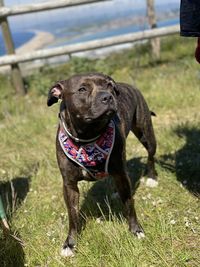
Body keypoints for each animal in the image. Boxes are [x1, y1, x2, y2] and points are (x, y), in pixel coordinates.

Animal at [47, 73, 157, 258]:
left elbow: (129, 204)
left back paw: (152, 177)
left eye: (109, 85)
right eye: (82, 89)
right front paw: (70, 244)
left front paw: (136, 230)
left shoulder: (121, 173)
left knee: (150, 156)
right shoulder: (69, 185)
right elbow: (73, 216)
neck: (88, 136)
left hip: (146, 134)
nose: (108, 96)